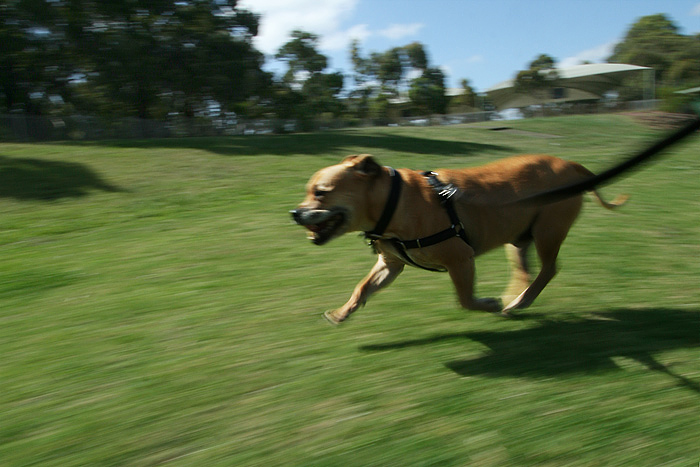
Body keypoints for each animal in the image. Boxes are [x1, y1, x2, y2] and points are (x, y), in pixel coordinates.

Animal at [290, 155, 624, 324]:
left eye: (321, 192)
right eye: (307, 191)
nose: (294, 212)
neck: (393, 202)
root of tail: (572, 166)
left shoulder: (460, 259)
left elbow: (465, 299)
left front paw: (488, 303)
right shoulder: (390, 264)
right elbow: (361, 289)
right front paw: (342, 312)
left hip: (548, 231)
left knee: (548, 269)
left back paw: (518, 301)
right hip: (518, 239)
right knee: (526, 270)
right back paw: (516, 298)